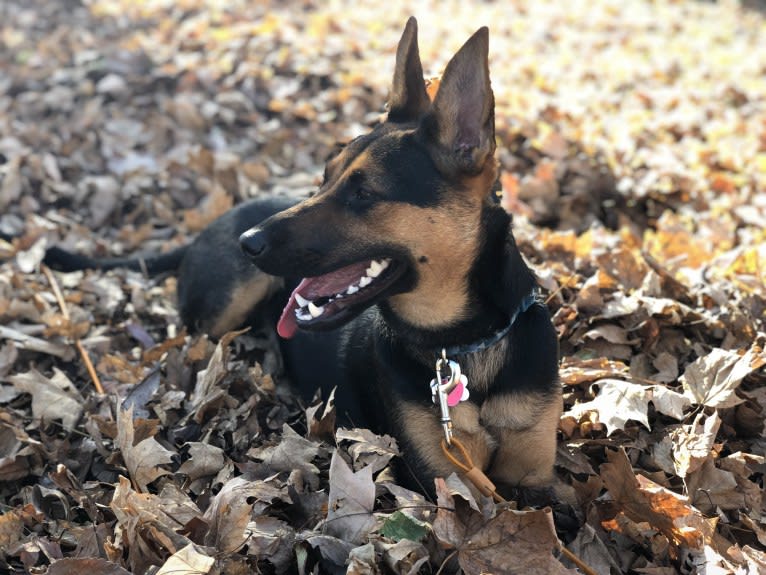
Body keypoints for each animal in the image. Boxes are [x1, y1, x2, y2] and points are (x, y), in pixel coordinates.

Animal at [48, 18, 564, 504]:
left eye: (363, 193)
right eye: (324, 176)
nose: (248, 243)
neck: (465, 345)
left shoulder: (533, 475)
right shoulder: (447, 474)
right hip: (225, 308)